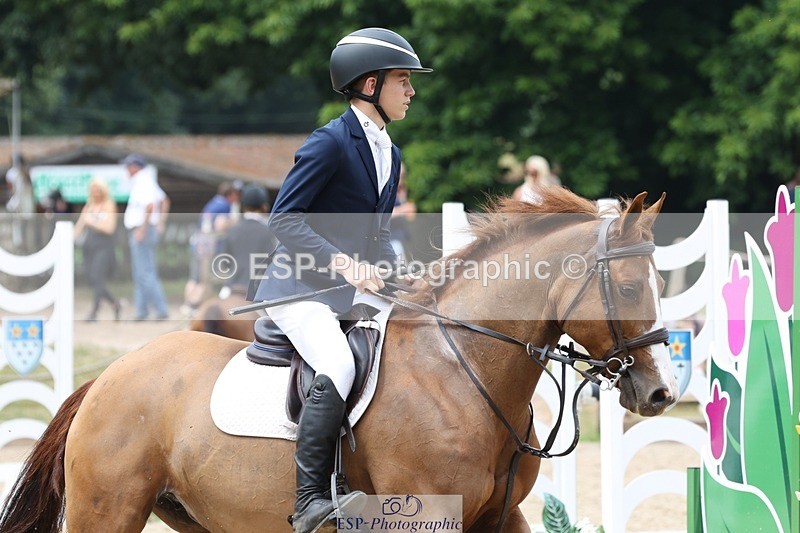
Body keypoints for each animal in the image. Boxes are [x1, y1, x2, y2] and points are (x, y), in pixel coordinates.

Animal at [0, 188, 678, 532]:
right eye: (628, 288)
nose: (660, 394)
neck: (465, 373)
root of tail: (106, 378)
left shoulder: (502, 517)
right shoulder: (429, 515)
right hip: (106, 510)